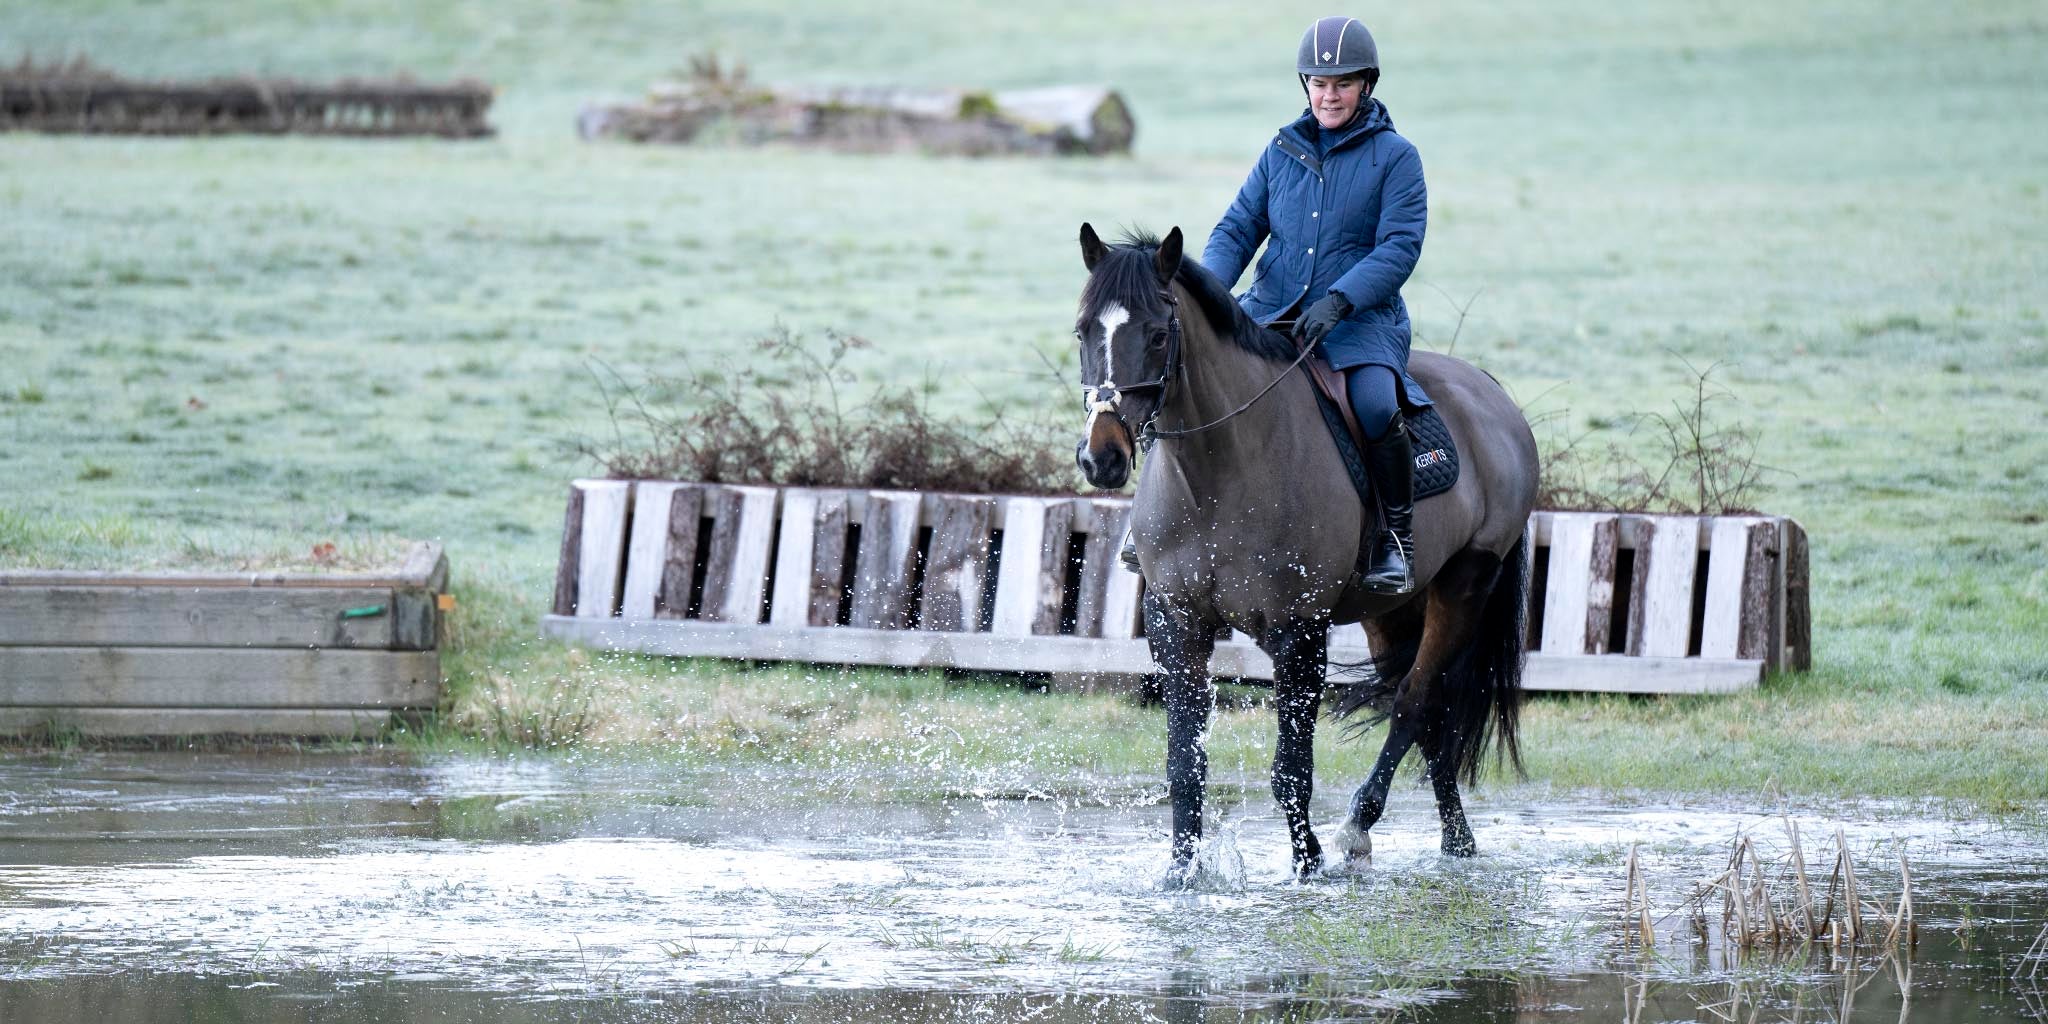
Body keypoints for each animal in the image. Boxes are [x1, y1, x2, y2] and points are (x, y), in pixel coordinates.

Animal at [1073, 224, 1540, 880]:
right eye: (1083, 331)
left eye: (1159, 334)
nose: (1103, 458)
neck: (1217, 470)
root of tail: (1490, 393)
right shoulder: (1178, 624)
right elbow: (1184, 766)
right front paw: (1182, 873)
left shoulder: (1299, 631)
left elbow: (1291, 771)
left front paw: (1308, 863)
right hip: (1391, 609)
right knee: (1427, 718)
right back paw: (1457, 842)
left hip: (1465, 584)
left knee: (1415, 702)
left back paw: (1362, 826)